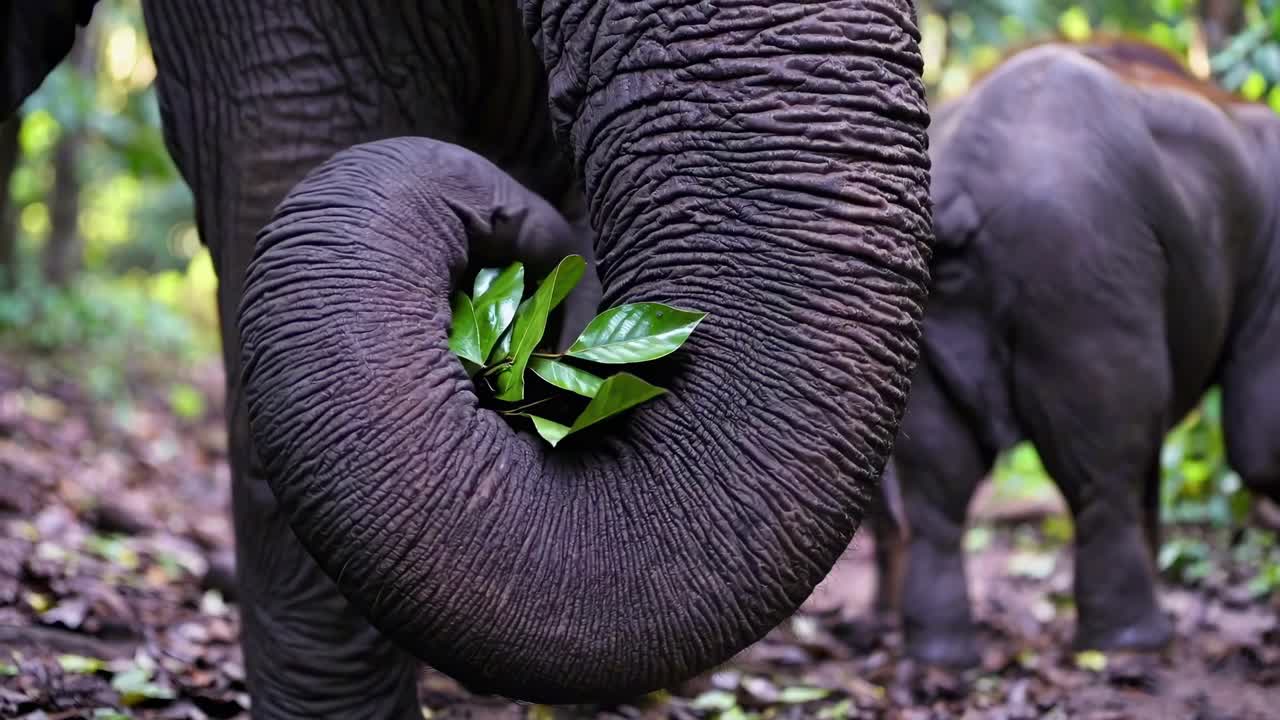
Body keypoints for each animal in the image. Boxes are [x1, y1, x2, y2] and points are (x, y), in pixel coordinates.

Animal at [883, 37, 1280, 669]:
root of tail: (962, 181)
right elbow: (1262, 439)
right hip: (1083, 270)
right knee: (1108, 460)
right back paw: (1132, 645)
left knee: (937, 478)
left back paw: (942, 657)